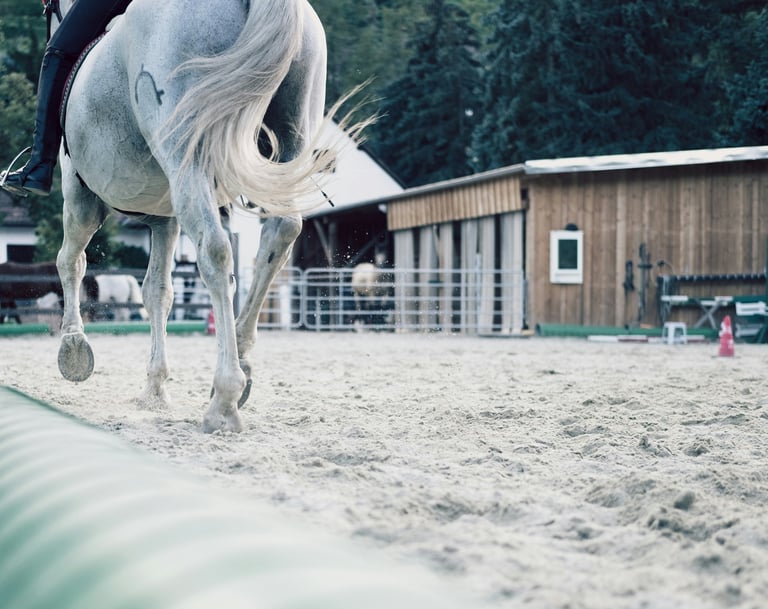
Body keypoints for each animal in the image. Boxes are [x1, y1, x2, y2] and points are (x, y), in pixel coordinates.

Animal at [53, 0, 359, 432]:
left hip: (186, 155)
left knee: (216, 252)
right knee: (279, 234)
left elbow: (71, 262)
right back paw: (242, 362)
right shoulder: (164, 217)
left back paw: (225, 397)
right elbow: (158, 292)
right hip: (291, 132)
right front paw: (155, 389)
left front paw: (73, 346)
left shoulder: (79, 194)